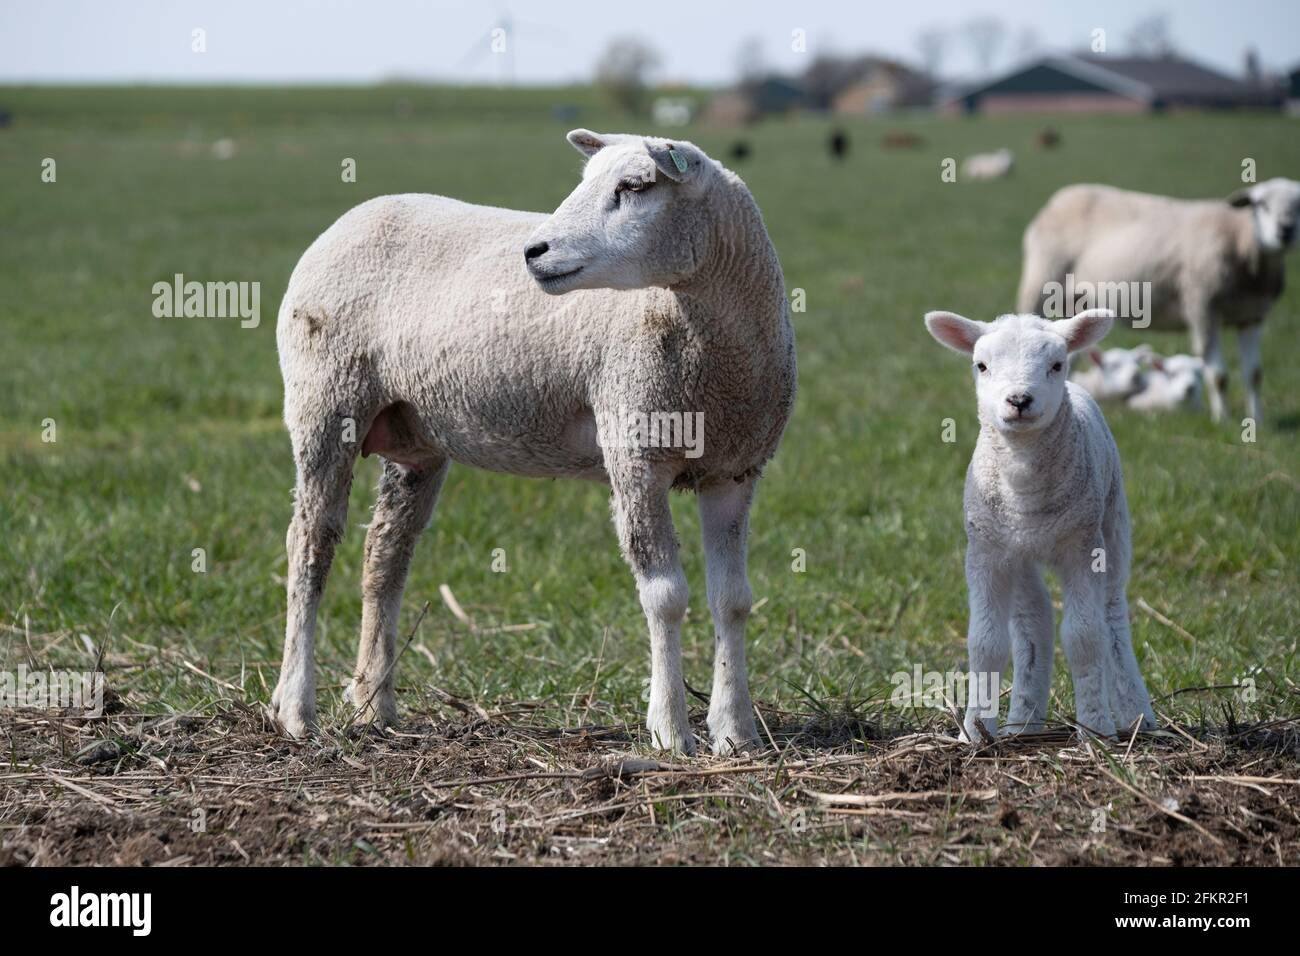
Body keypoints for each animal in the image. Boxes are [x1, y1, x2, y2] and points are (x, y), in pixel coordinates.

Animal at [268, 130, 797, 757]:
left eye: (635, 187)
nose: (534, 251)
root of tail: (351, 218)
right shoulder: (634, 454)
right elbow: (665, 595)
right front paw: (670, 730)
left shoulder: (734, 470)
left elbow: (733, 599)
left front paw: (737, 731)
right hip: (324, 401)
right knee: (309, 547)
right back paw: (295, 710)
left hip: (415, 438)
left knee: (385, 553)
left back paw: (374, 705)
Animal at [924, 308, 1157, 742]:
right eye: (981, 365)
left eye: (1056, 364)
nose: (1019, 400)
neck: (1024, 487)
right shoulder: (986, 551)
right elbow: (985, 642)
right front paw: (975, 732)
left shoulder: (1082, 546)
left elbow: (1085, 637)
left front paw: (1096, 729)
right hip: (1018, 553)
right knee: (1035, 620)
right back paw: (1024, 722)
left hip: (1112, 522)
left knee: (1113, 617)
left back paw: (1136, 714)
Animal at [1016, 178, 1300, 423]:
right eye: (1261, 204)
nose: (1285, 231)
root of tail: (1062, 197)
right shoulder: (1202, 307)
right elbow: (1219, 375)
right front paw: (1223, 420)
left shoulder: (1252, 316)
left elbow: (1254, 375)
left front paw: (1257, 421)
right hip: (1041, 281)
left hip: (1079, 304)